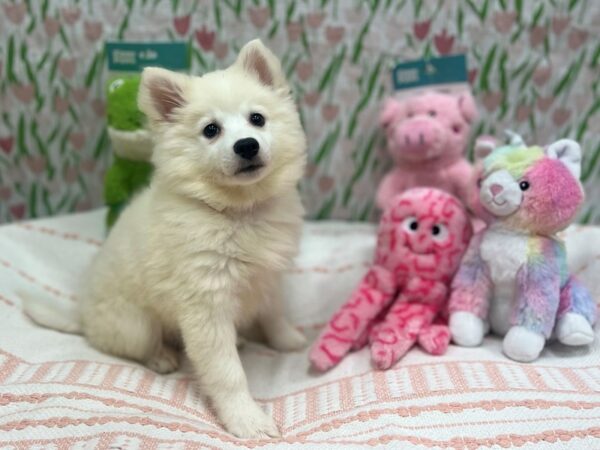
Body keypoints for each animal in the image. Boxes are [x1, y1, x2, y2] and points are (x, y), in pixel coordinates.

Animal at [22, 40, 308, 438]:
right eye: (211, 130)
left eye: (257, 119)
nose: (247, 145)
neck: (238, 212)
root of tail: (82, 316)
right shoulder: (206, 306)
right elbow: (227, 373)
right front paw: (247, 420)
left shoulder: (268, 278)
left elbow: (274, 314)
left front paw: (287, 340)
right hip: (137, 326)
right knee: (129, 346)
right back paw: (161, 357)